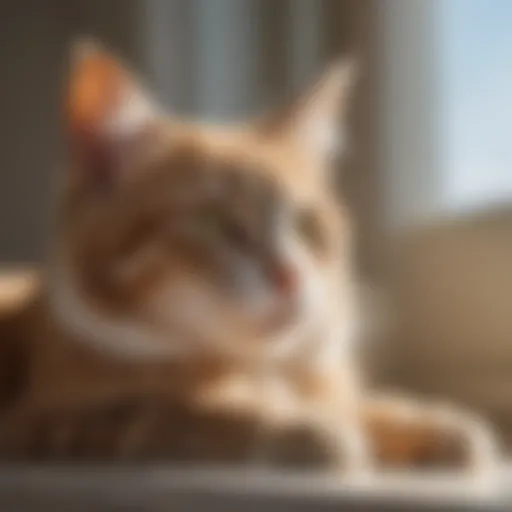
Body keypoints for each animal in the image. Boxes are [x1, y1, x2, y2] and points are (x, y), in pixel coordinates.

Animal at [0, 42, 500, 474]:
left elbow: (361, 405)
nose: (290, 275)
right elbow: (187, 412)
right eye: (217, 222)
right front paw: (299, 426)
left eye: (305, 224)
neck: (253, 368)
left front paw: (429, 425)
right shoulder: (56, 422)